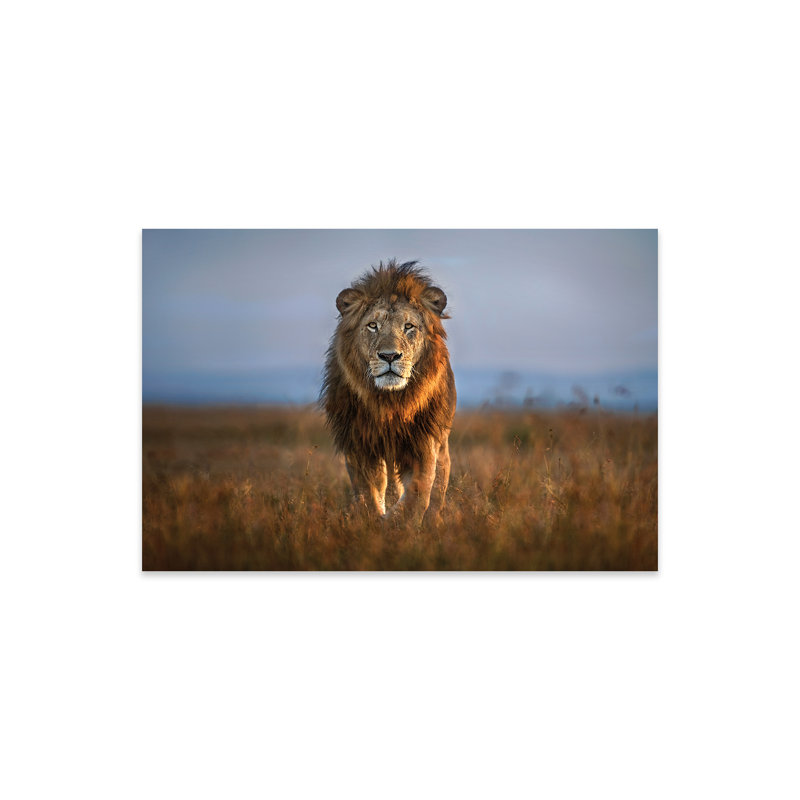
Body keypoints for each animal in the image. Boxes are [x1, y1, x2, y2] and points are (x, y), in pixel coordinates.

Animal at [321, 259, 456, 524]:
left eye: (409, 326)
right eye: (373, 326)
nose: (390, 356)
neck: (390, 402)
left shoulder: (423, 442)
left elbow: (418, 492)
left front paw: (398, 524)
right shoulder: (359, 443)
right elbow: (368, 491)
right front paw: (372, 521)